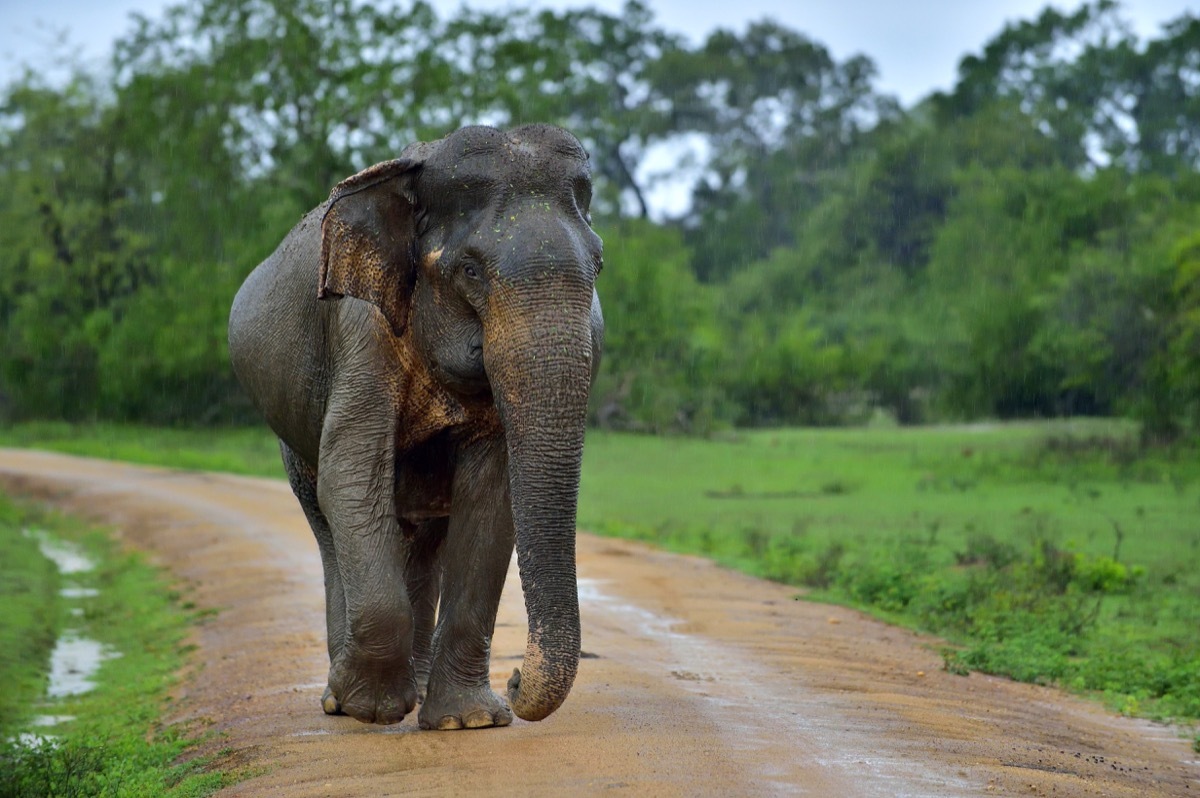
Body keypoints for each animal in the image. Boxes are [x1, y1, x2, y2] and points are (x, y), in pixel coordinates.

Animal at [227, 124, 604, 730]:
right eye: (470, 270)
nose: (515, 679)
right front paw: (373, 709)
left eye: (599, 267)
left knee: (425, 539)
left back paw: (420, 689)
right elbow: (351, 475)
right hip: (291, 438)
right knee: (327, 517)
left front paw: (467, 720)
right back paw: (339, 699)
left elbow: (490, 497)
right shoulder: (361, 327)